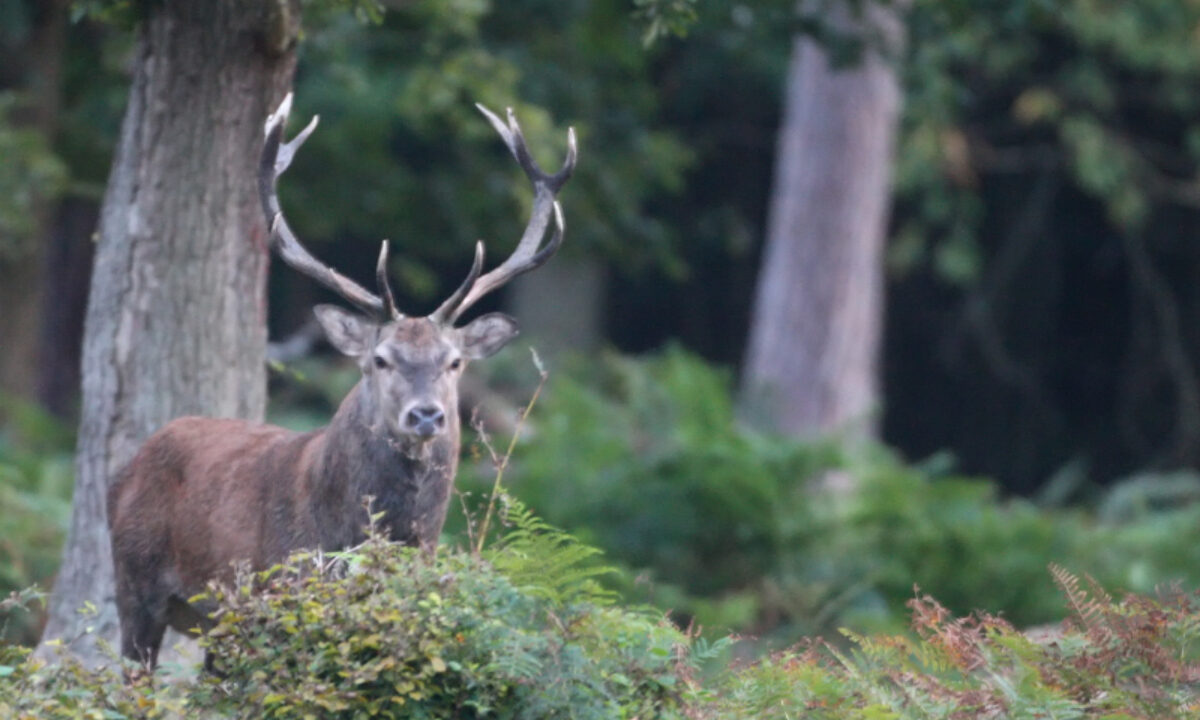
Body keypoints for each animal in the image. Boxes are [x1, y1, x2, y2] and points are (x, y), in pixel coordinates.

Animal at [106, 93, 576, 667]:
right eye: (380, 359)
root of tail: (129, 464)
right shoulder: (276, 592)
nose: (426, 414)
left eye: (454, 362)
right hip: (137, 584)